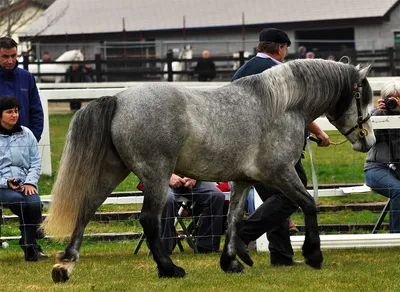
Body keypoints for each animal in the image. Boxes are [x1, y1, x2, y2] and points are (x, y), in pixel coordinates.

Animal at [43, 59, 376, 282]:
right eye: (363, 100)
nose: (369, 141)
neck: (281, 104)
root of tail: (118, 99)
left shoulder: (243, 180)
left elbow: (234, 219)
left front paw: (232, 261)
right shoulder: (280, 173)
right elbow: (308, 204)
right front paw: (313, 254)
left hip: (114, 170)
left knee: (86, 209)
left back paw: (65, 266)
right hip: (156, 174)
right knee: (149, 219)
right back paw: (170, 269)